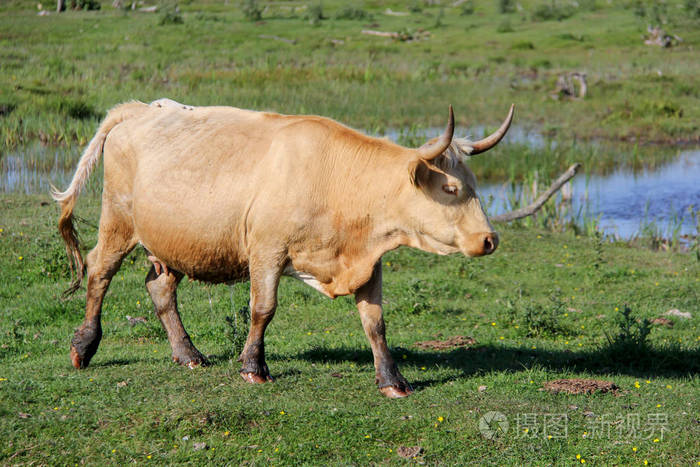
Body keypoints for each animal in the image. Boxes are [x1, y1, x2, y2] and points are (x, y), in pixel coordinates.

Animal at [53, 99, 516, 398]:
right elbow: (263, 309)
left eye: (474, 183)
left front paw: (392, 381)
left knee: (159, 287)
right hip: (118, 221)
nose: (489, 239)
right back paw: (83, 347)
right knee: (99, 272)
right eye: (451, 188)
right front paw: (253, 368)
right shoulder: (267, 250)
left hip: (172, 242)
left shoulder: (370, 262)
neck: (338, 182)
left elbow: (375, 322)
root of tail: (140, 109)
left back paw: (187, 354)